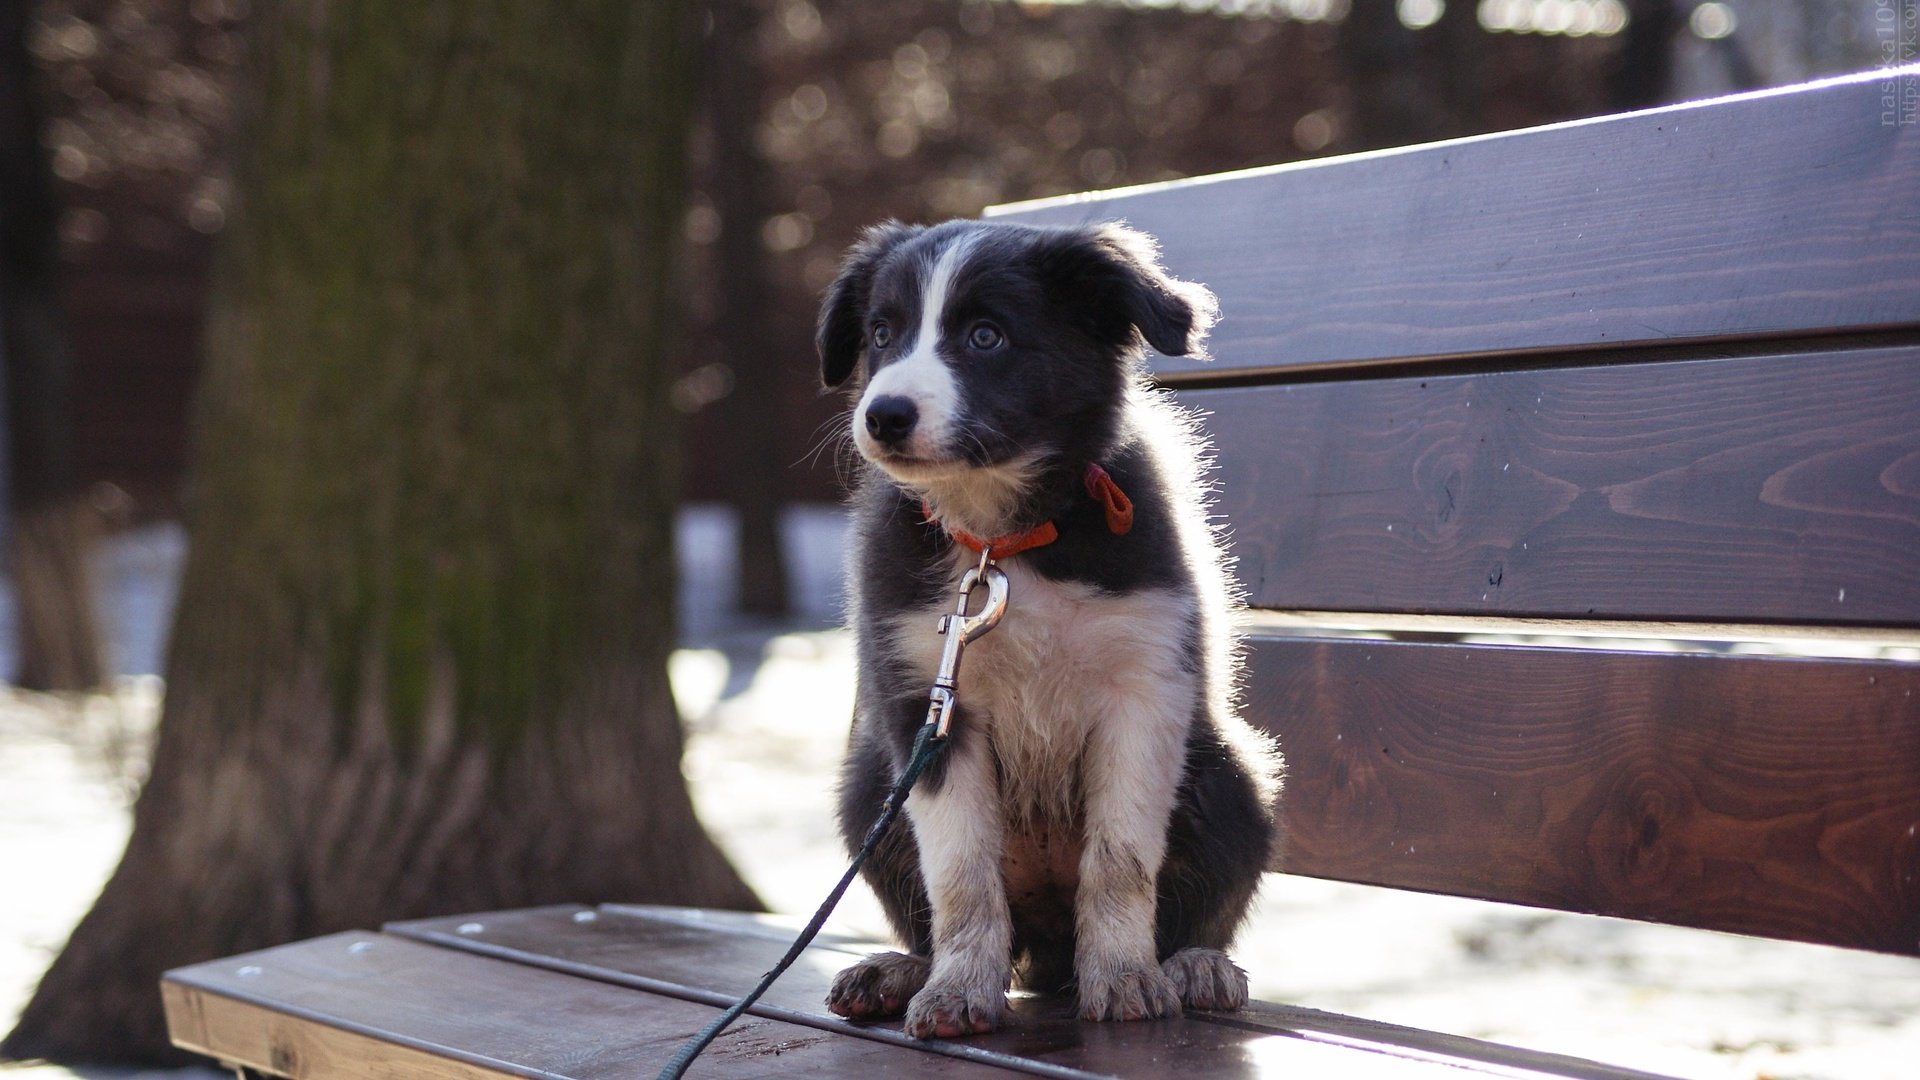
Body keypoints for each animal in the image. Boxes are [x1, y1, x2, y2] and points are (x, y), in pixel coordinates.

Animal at [817, 216, 1282, 1037]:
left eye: (986, 336)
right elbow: (962, 872)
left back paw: (1194, 965)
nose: (883, 416)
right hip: (870, 785)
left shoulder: (1145, 688)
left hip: (1232, 775)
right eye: (881, 333)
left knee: (1197, 904)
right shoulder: (927, 705)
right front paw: (959, 989)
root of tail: (1047, 955)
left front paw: (1125, 978)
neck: (1002, 542)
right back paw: (903, 970)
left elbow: (1120, 859)